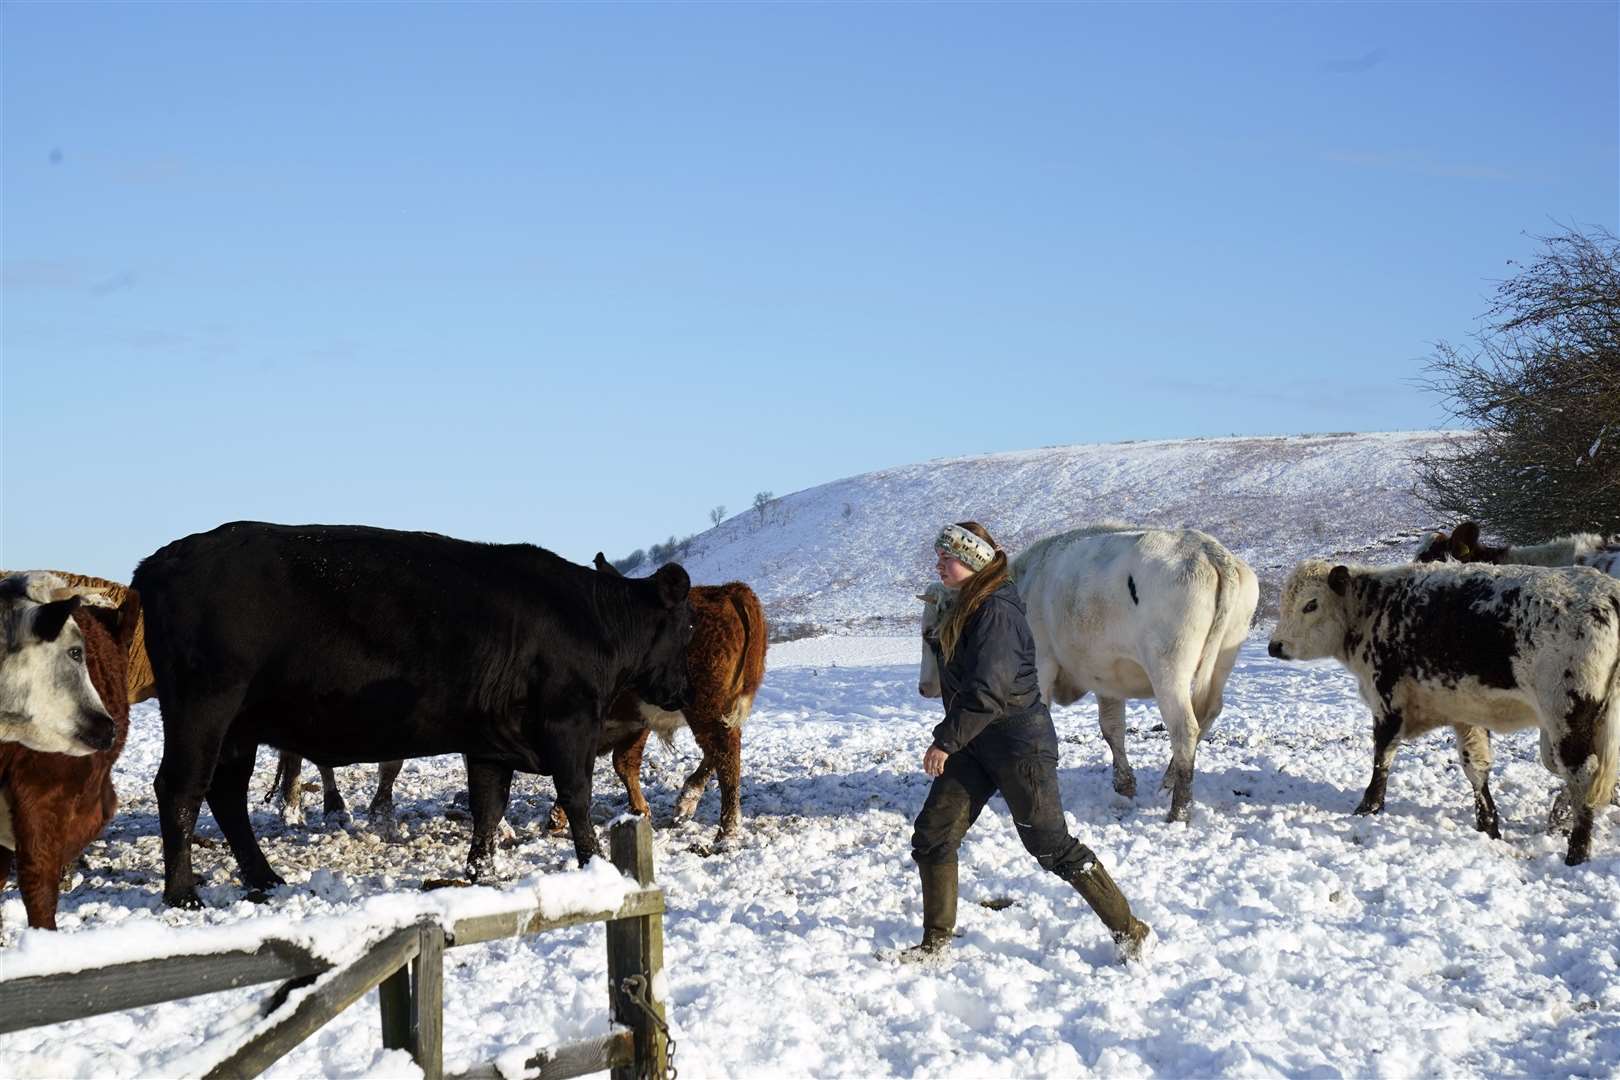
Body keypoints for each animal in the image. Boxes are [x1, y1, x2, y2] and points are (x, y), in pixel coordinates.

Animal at [136, 518, 693, 906]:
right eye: (687, 623)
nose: (683, 690)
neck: (594, 622)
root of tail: (164, 558)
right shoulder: (568, 722)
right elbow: (576, 797)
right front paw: (594, 864)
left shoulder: (490, 741)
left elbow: (488, 808)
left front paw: (480, 875)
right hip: (205, 706)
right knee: (181, 789)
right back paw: (183, 895)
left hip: (239, 727)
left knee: (226, 793)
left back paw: (266, 878)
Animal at [541, 557, 761, 841]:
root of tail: (724, 590)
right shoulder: (631, 722)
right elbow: (622, 763)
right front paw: (640, 811)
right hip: (718, 709)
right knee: (719, 748)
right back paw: (688, 800)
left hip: (705, 708)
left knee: (725, 753)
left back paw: (727, 832)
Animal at [926, 527, 1250, 822]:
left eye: (930, 634)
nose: (924, 688)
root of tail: (1207, 548)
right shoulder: (1106, 679)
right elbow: (1112, 729)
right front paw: (1124, 786)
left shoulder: (1042, 662)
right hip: (1221, 661)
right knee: (1208, 713)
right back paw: (1168, 782)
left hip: (1168, 670)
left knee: (1185, 729)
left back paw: (1179, 810)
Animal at [1270, 563, 1613, 867]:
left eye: (1311, 604)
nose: (1275, 646)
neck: (1373, 609)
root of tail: (1606, 593)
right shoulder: (1466, 713)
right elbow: (1476, 766)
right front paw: (1488, 825)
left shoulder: (1388, 699)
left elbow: (1382, 756)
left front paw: (1368, 807)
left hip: (1568, 718)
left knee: (1582, 773)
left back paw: (1576, 851)